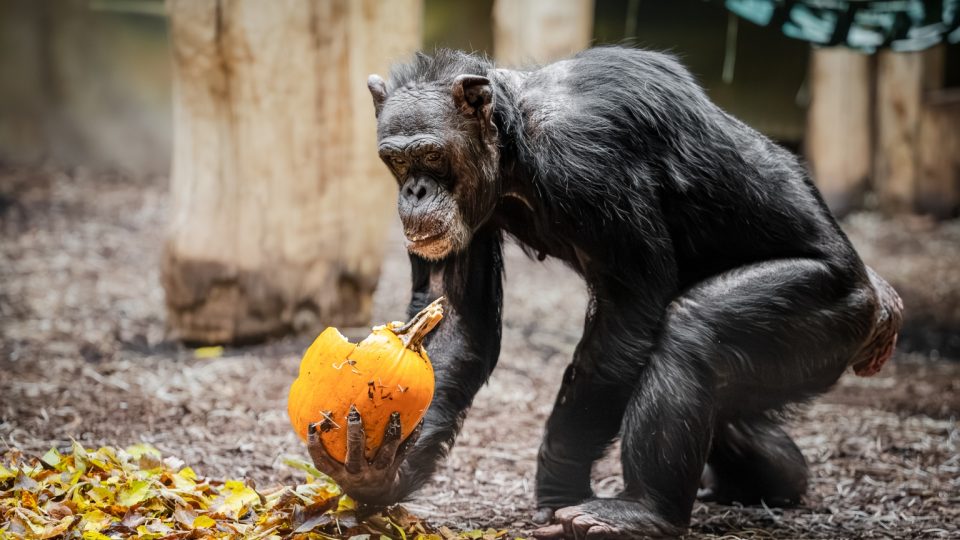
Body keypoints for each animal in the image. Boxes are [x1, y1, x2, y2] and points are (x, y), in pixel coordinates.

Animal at [306, 48, 900, 536]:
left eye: (430, 156)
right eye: (396, 160)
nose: (414, 191)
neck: (516, 143)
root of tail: (876, 305)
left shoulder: (590, 164)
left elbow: (626, 315)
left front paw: (559, 488)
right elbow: (454, 323)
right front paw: (381, 471)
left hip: (828, 309)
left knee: (694, 331)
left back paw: (640, 512)